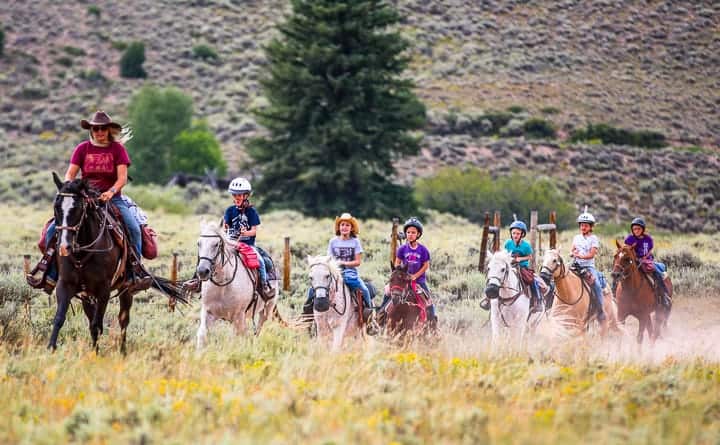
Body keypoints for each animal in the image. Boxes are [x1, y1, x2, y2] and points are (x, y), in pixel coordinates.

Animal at [48, 173, 186, 350]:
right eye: (56, 207)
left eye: (78, 208)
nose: (65, 247)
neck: (82, 253)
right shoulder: (65, 284)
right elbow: (60, 319)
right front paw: (51, 348)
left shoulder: (104, 290)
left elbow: (97, 325)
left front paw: (96, 353)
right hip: (87, 295)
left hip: (126, 289)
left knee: (123, 320)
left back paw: (123, 350)